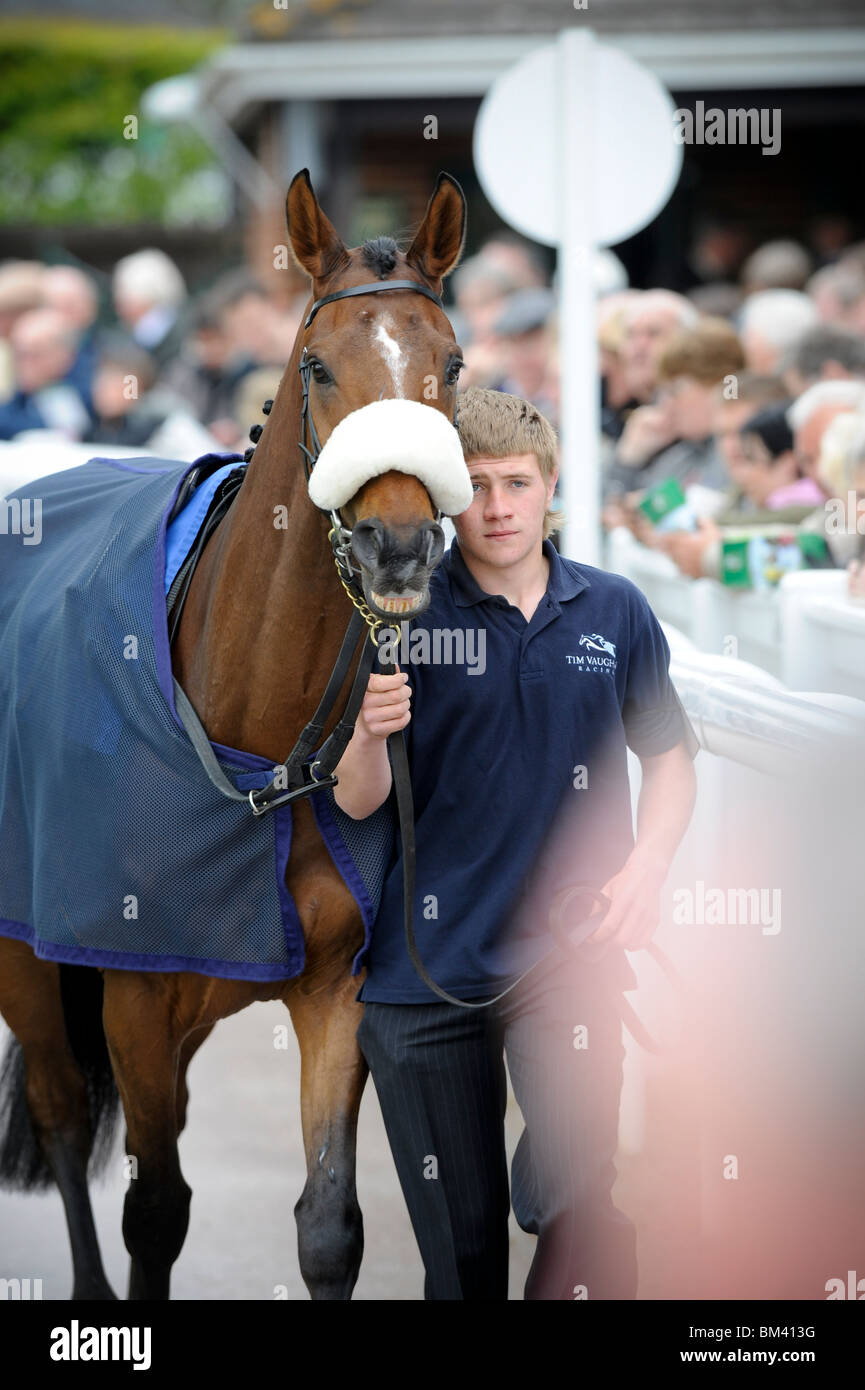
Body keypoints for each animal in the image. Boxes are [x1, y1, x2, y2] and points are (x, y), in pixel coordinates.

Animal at [0, 168, 467, 1295]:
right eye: (318, 364)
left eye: (451, 364)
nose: (396, 544)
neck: (258, 756)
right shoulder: (133, 989)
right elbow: (155, 1211)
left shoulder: (335, 986)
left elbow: (330, 1225)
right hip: (26, 957)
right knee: (62, 1113)